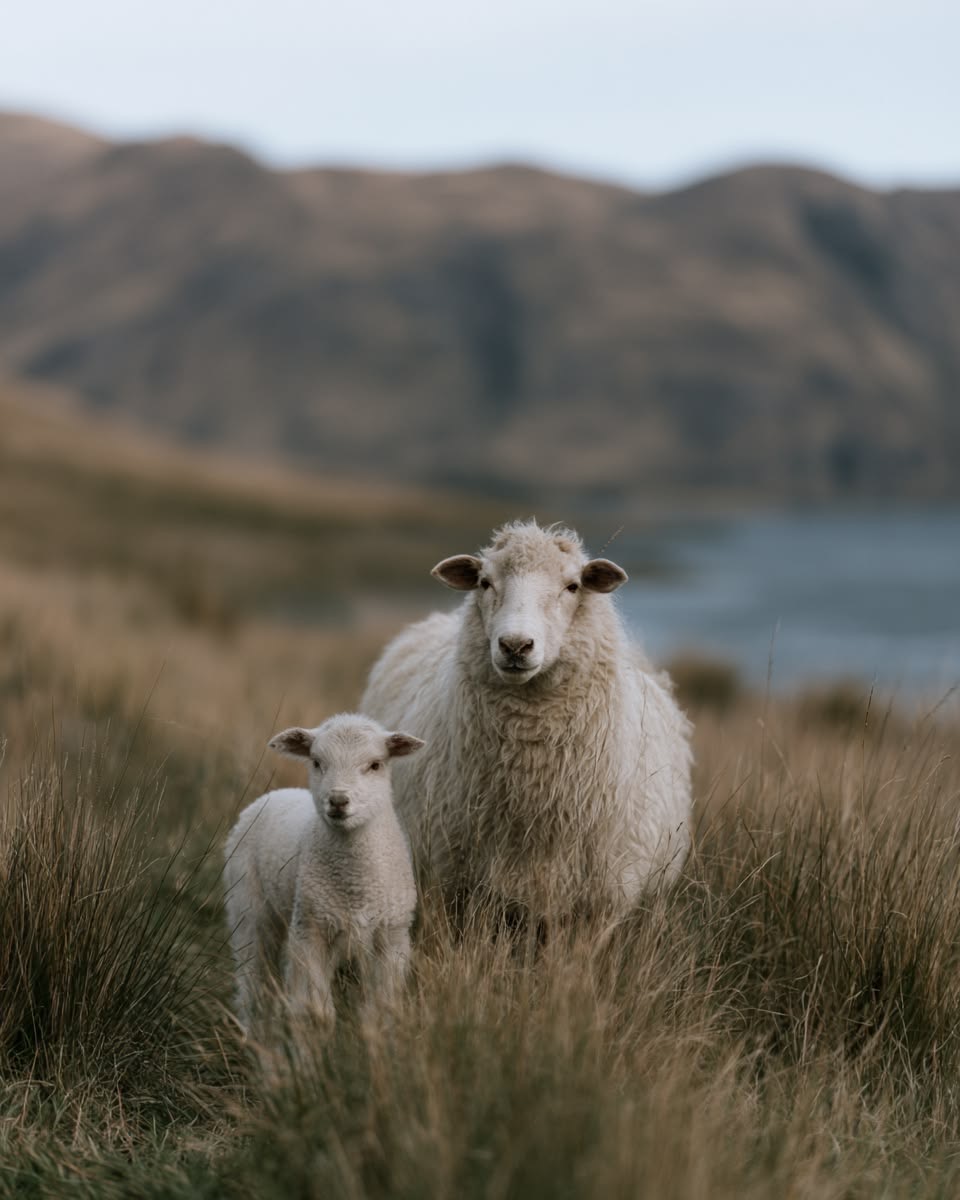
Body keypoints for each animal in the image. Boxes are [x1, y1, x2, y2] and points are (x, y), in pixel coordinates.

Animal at [223, 713, 424, 1034]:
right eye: (317, 762)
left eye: (375, 765)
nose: (338, 801)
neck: (355, 884)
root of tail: (277, 793)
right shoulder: (311, 932)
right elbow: (315, 1014)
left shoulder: (393, 937)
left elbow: (381, 1011)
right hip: (247, 909)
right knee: (252, 985)